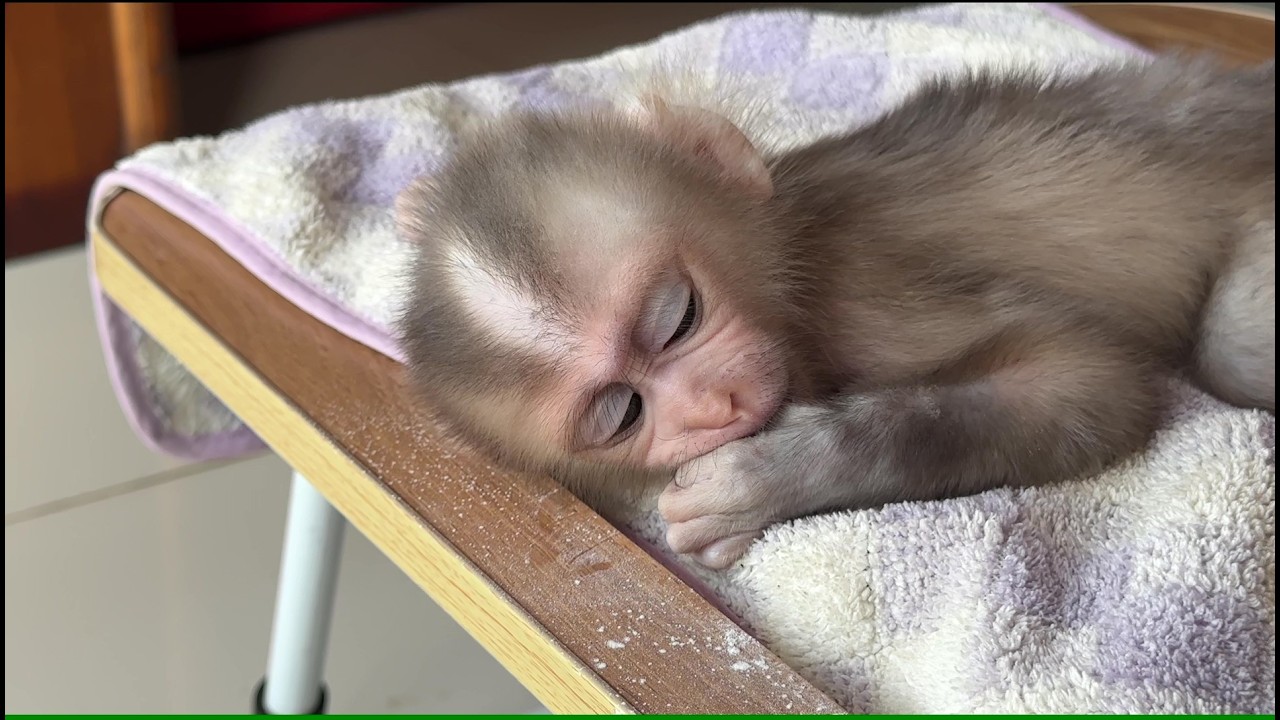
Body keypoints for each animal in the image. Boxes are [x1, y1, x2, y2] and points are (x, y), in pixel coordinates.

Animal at [394, 53, 1275, 570]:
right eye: (622, 413)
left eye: (677, 316)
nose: (718, 406)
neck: (792, 261)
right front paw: (411, 205)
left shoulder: (862, 295)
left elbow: (1088, 379)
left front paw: (769, 476)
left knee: (1233, 349)